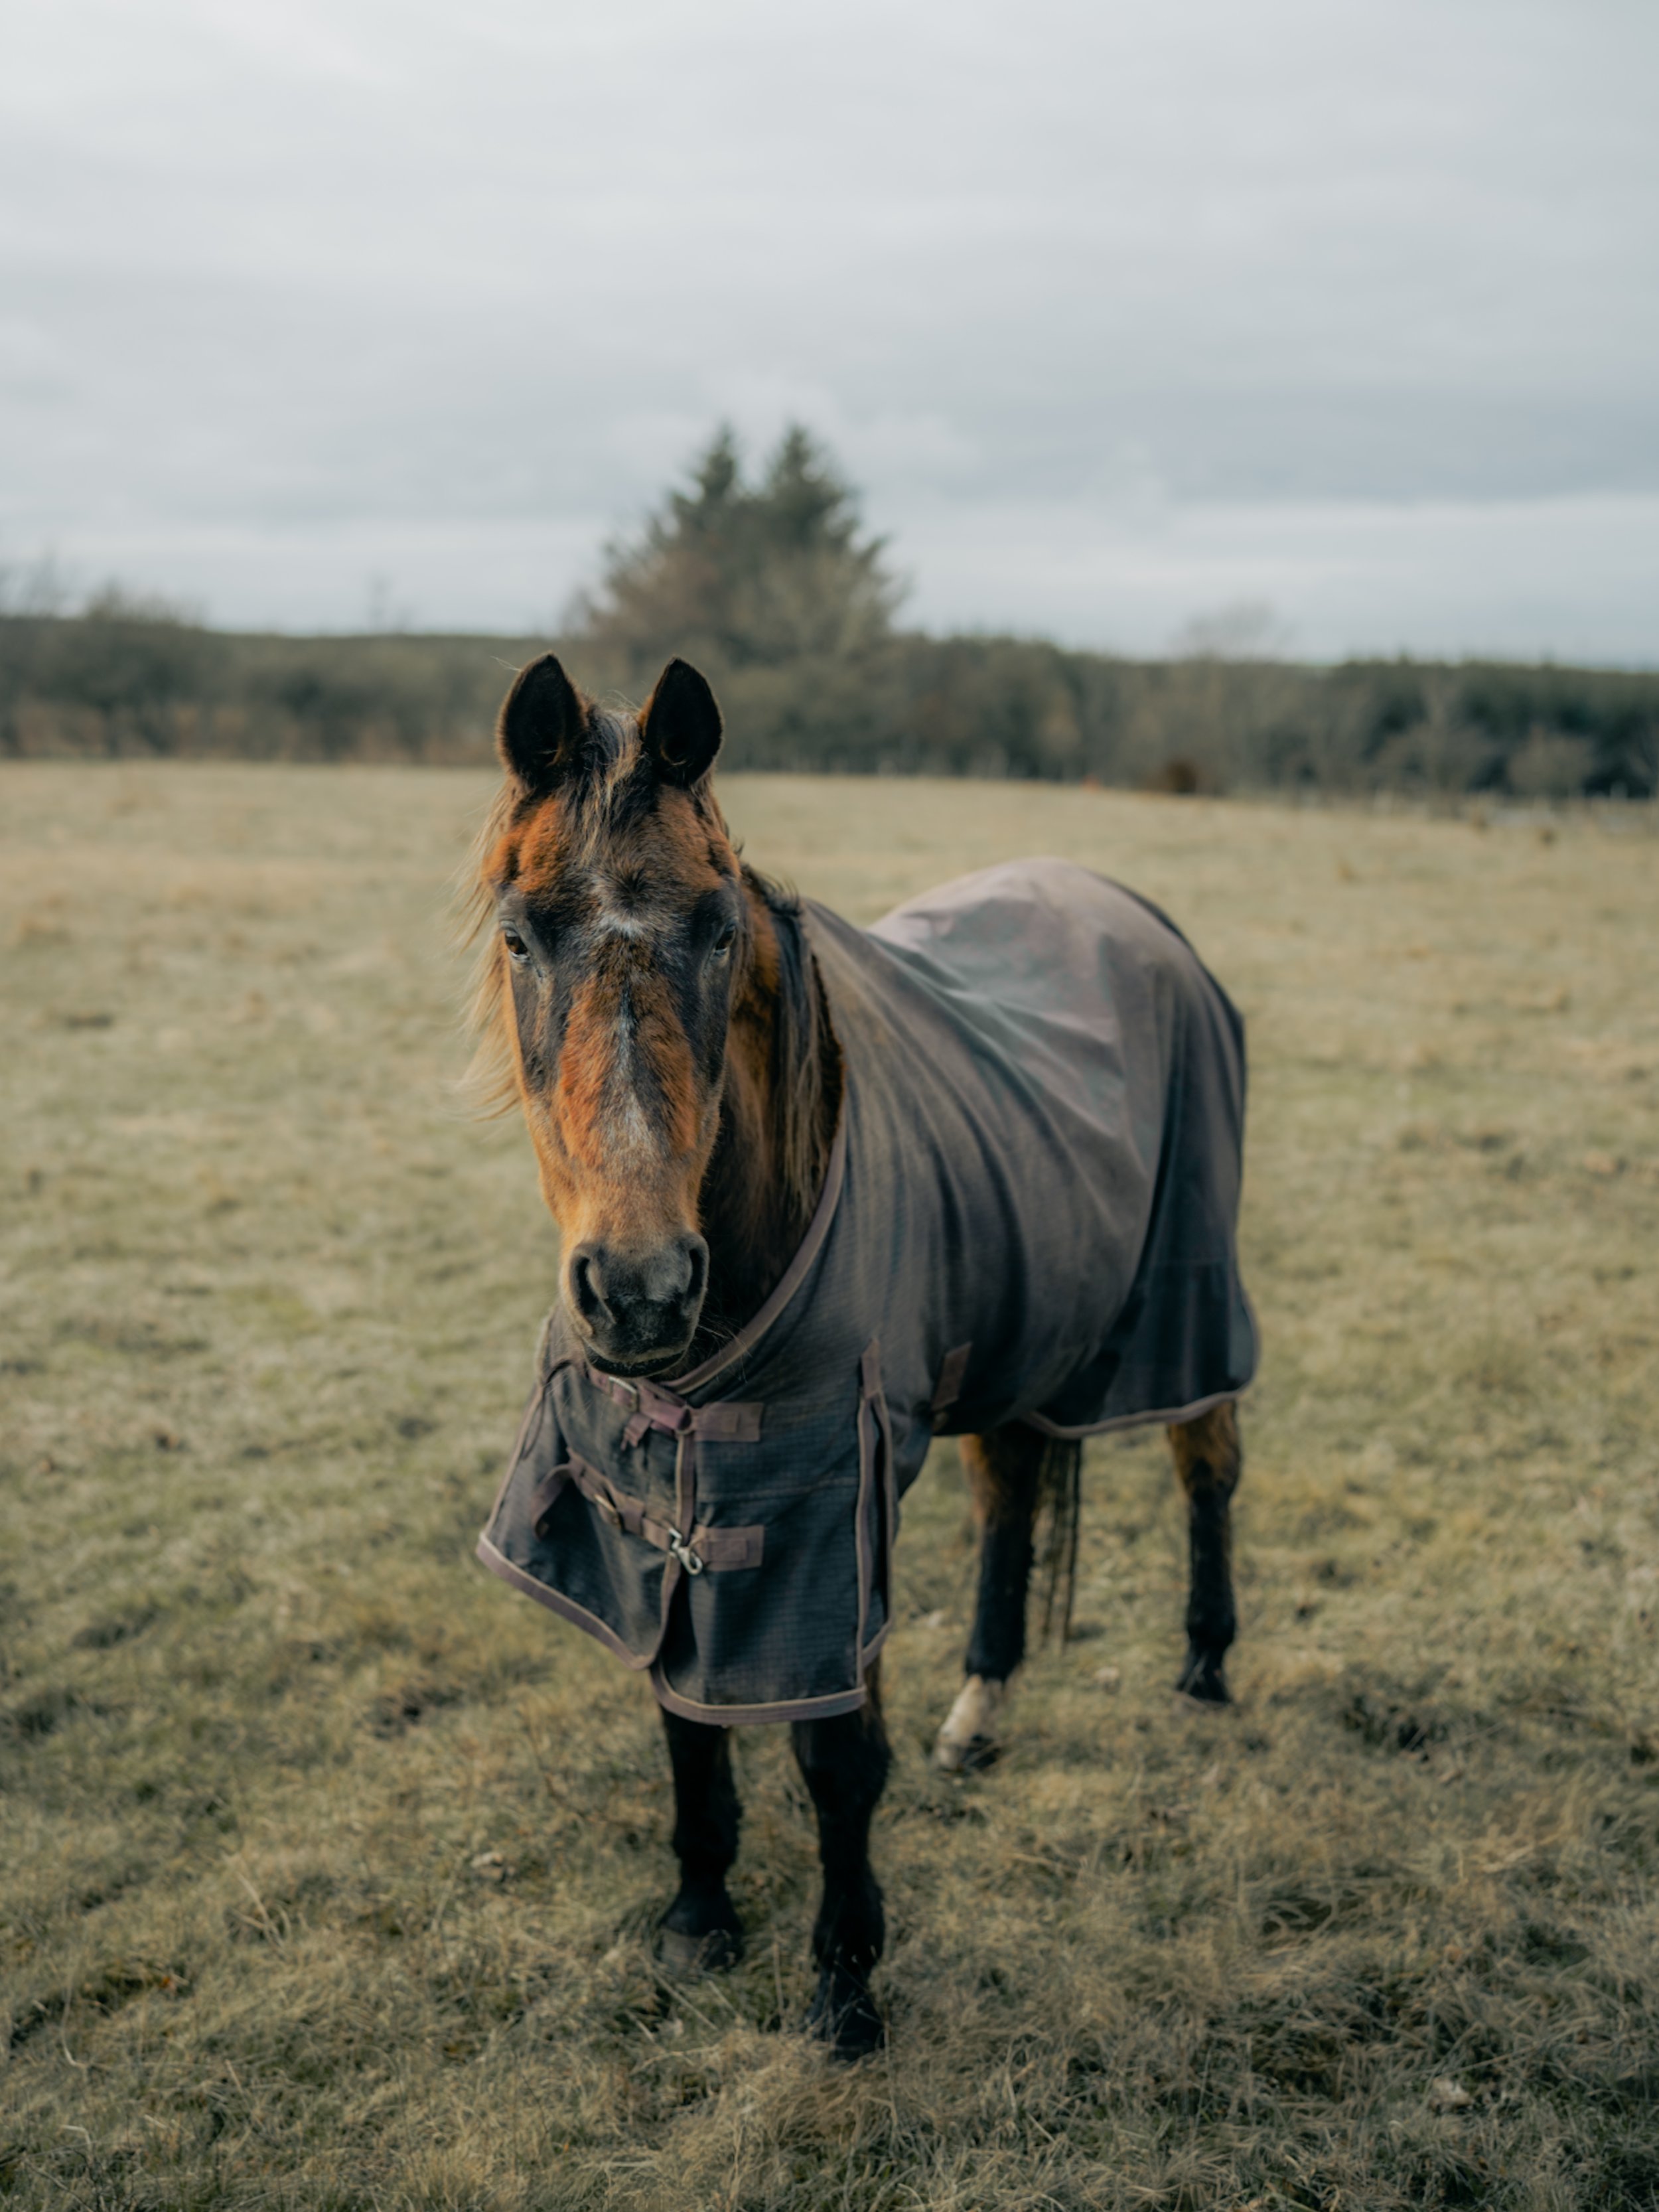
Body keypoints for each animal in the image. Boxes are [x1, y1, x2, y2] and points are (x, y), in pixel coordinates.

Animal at [467, 653, 1254, 2058]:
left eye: (719, 930)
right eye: (519, 935)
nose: (641, 1288)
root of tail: (1134, 911)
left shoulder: (834, 1499)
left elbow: (836, 1758)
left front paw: (844, 1983)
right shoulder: (658, 1500)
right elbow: (682, 1707)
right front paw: (699, 1911)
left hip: (1183, 1293)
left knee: (1206, 1452)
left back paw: (1208, 1665)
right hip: (1020, 1325)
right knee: (1011, 1491)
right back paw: (982, 1711)